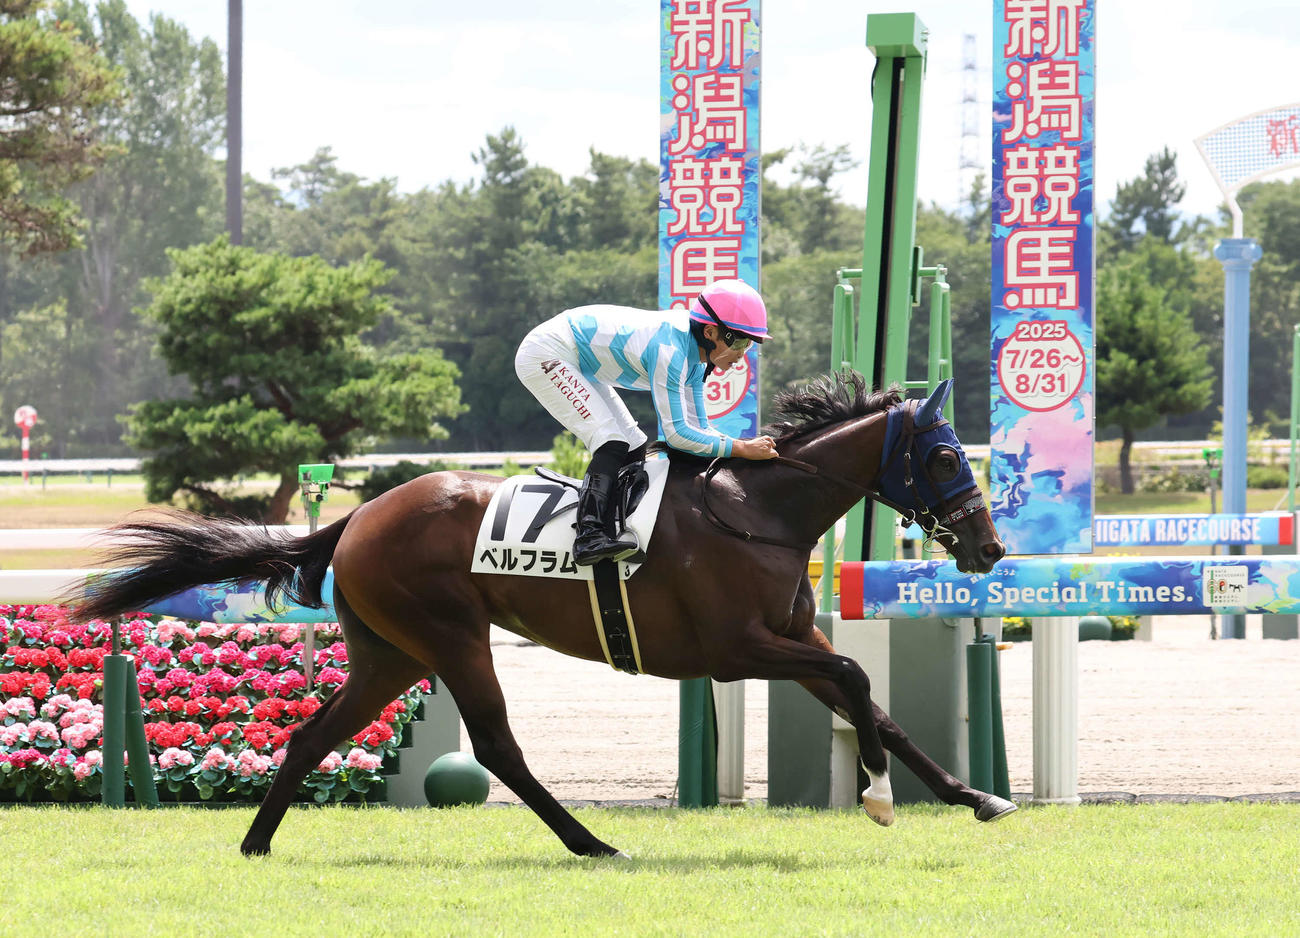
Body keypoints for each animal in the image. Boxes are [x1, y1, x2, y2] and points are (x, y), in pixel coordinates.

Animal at [71, 371, 1010, 859]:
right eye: (943, 457)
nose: (989, 547)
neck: (760, 511)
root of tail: (357, 516)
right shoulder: (738, 646)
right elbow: (856, 676)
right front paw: (879, 798)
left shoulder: (790, 636)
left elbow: (878, 707)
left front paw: (975, 797)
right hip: (451, 634)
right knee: (495, 748)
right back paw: (592, 843)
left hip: (391, 654)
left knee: (312, 734)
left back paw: (257, 844)